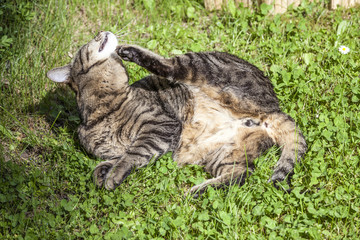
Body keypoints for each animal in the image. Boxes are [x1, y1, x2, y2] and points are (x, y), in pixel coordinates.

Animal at [46, 31, 306, 195]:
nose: (101, 31)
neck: (104, 107)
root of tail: (274, 109)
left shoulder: (160, 125)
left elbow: (133, 154)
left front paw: (114, 175)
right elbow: (110, 161)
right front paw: (103, 172)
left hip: (202, 64)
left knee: (169, 65)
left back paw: (129, 51)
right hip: (223, 153)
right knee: (240, 175)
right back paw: (199, 191)